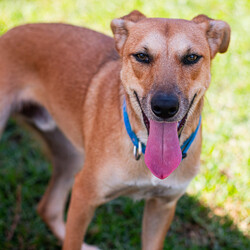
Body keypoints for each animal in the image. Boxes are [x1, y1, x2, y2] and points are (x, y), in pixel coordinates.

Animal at [0, 10, 230, 250]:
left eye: (191, 58)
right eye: (142, 56)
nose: (165, 107)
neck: (142, 146)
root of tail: (9, 33)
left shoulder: (162, 206)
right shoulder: (84, 194)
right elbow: (72, 239)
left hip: (71, 156)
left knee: (48, 208)